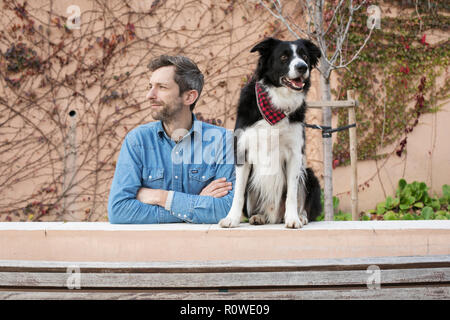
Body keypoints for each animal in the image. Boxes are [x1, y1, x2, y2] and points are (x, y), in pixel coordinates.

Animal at [219, 37, 322, 228]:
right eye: (283, 57)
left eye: (304, 56)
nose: (302, 67)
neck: (277, 104)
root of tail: (275, 217)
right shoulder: (242, 151)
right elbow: (238, 193)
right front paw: (232, 218)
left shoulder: (295, 154)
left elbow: (292, 193)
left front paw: (293, 218)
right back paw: (259, 216)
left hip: (310, 175)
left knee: (304, 203)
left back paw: (300, 216)